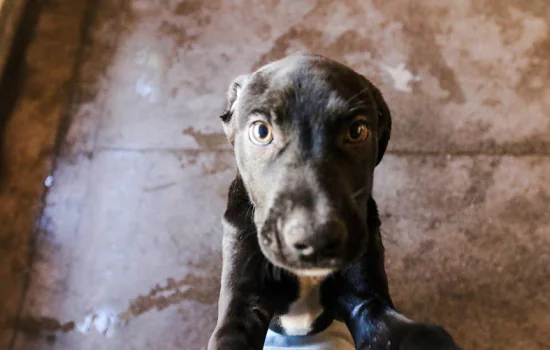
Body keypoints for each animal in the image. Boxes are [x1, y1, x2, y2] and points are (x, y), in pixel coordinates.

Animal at [209, 52, 460, 350]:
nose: (316, 240)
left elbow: (405, 330)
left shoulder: (365, 300)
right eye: (261, 131)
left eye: (357, 130)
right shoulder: (242, 306)